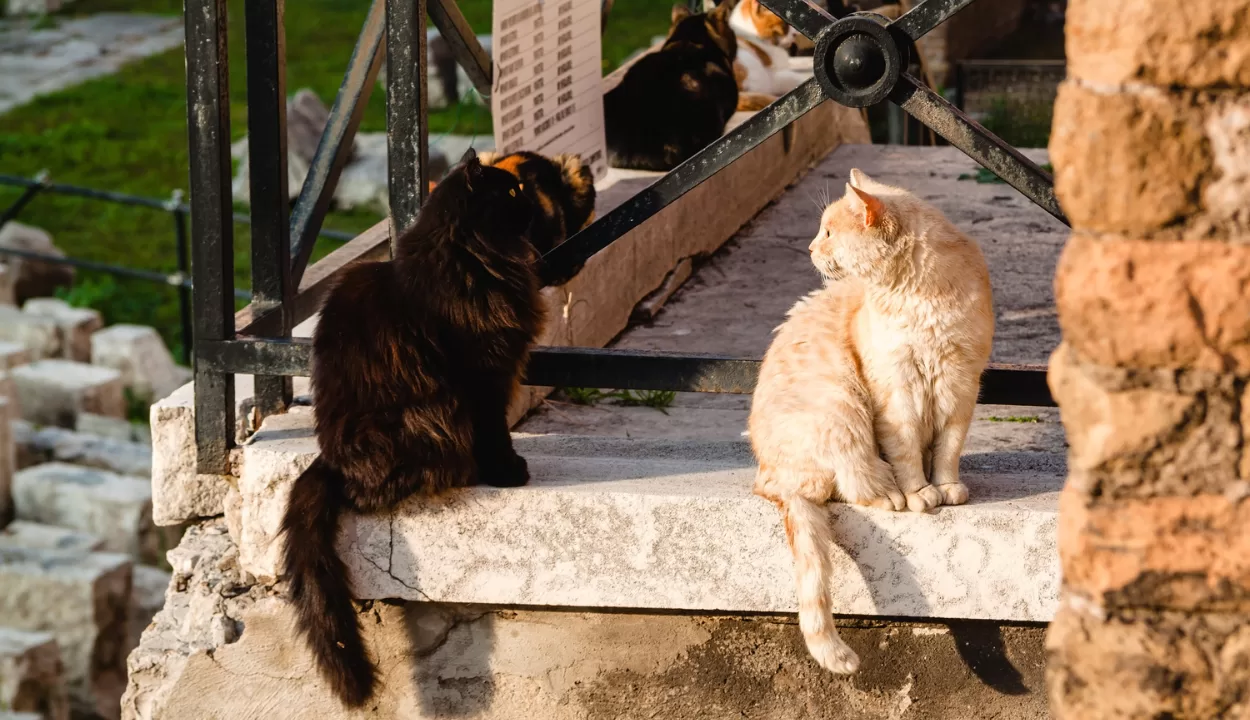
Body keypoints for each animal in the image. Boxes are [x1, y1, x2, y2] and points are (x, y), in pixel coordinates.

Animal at [283, 147, 547, 710]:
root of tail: (329, 461)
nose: (533, 205)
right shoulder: (483, 374)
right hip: (424, 415)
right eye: (512, 193)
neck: (471, 261)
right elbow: (495, 431)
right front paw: (508, 471)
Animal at [745, 168, 990, 675]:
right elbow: (908, 453)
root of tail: (766, 477)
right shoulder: (895, 393)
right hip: (843, 408)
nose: (810, 249)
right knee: (852, 483)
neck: (920, 299)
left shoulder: (961, 385)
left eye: (829, 233)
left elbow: (948, 448)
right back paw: (891, 495)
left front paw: (947, 487)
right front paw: (920, 493)